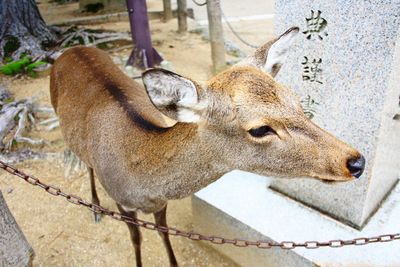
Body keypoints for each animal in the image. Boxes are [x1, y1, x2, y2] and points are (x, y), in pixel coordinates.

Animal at [50, 27, 366, 267]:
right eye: (259, 129)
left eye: (298, 103)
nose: (356, 162)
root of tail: (68, 50)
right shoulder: (122, 201)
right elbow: (136, 239)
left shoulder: (160, 204)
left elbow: (164, 233)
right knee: (85, 162)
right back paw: (95, 207)